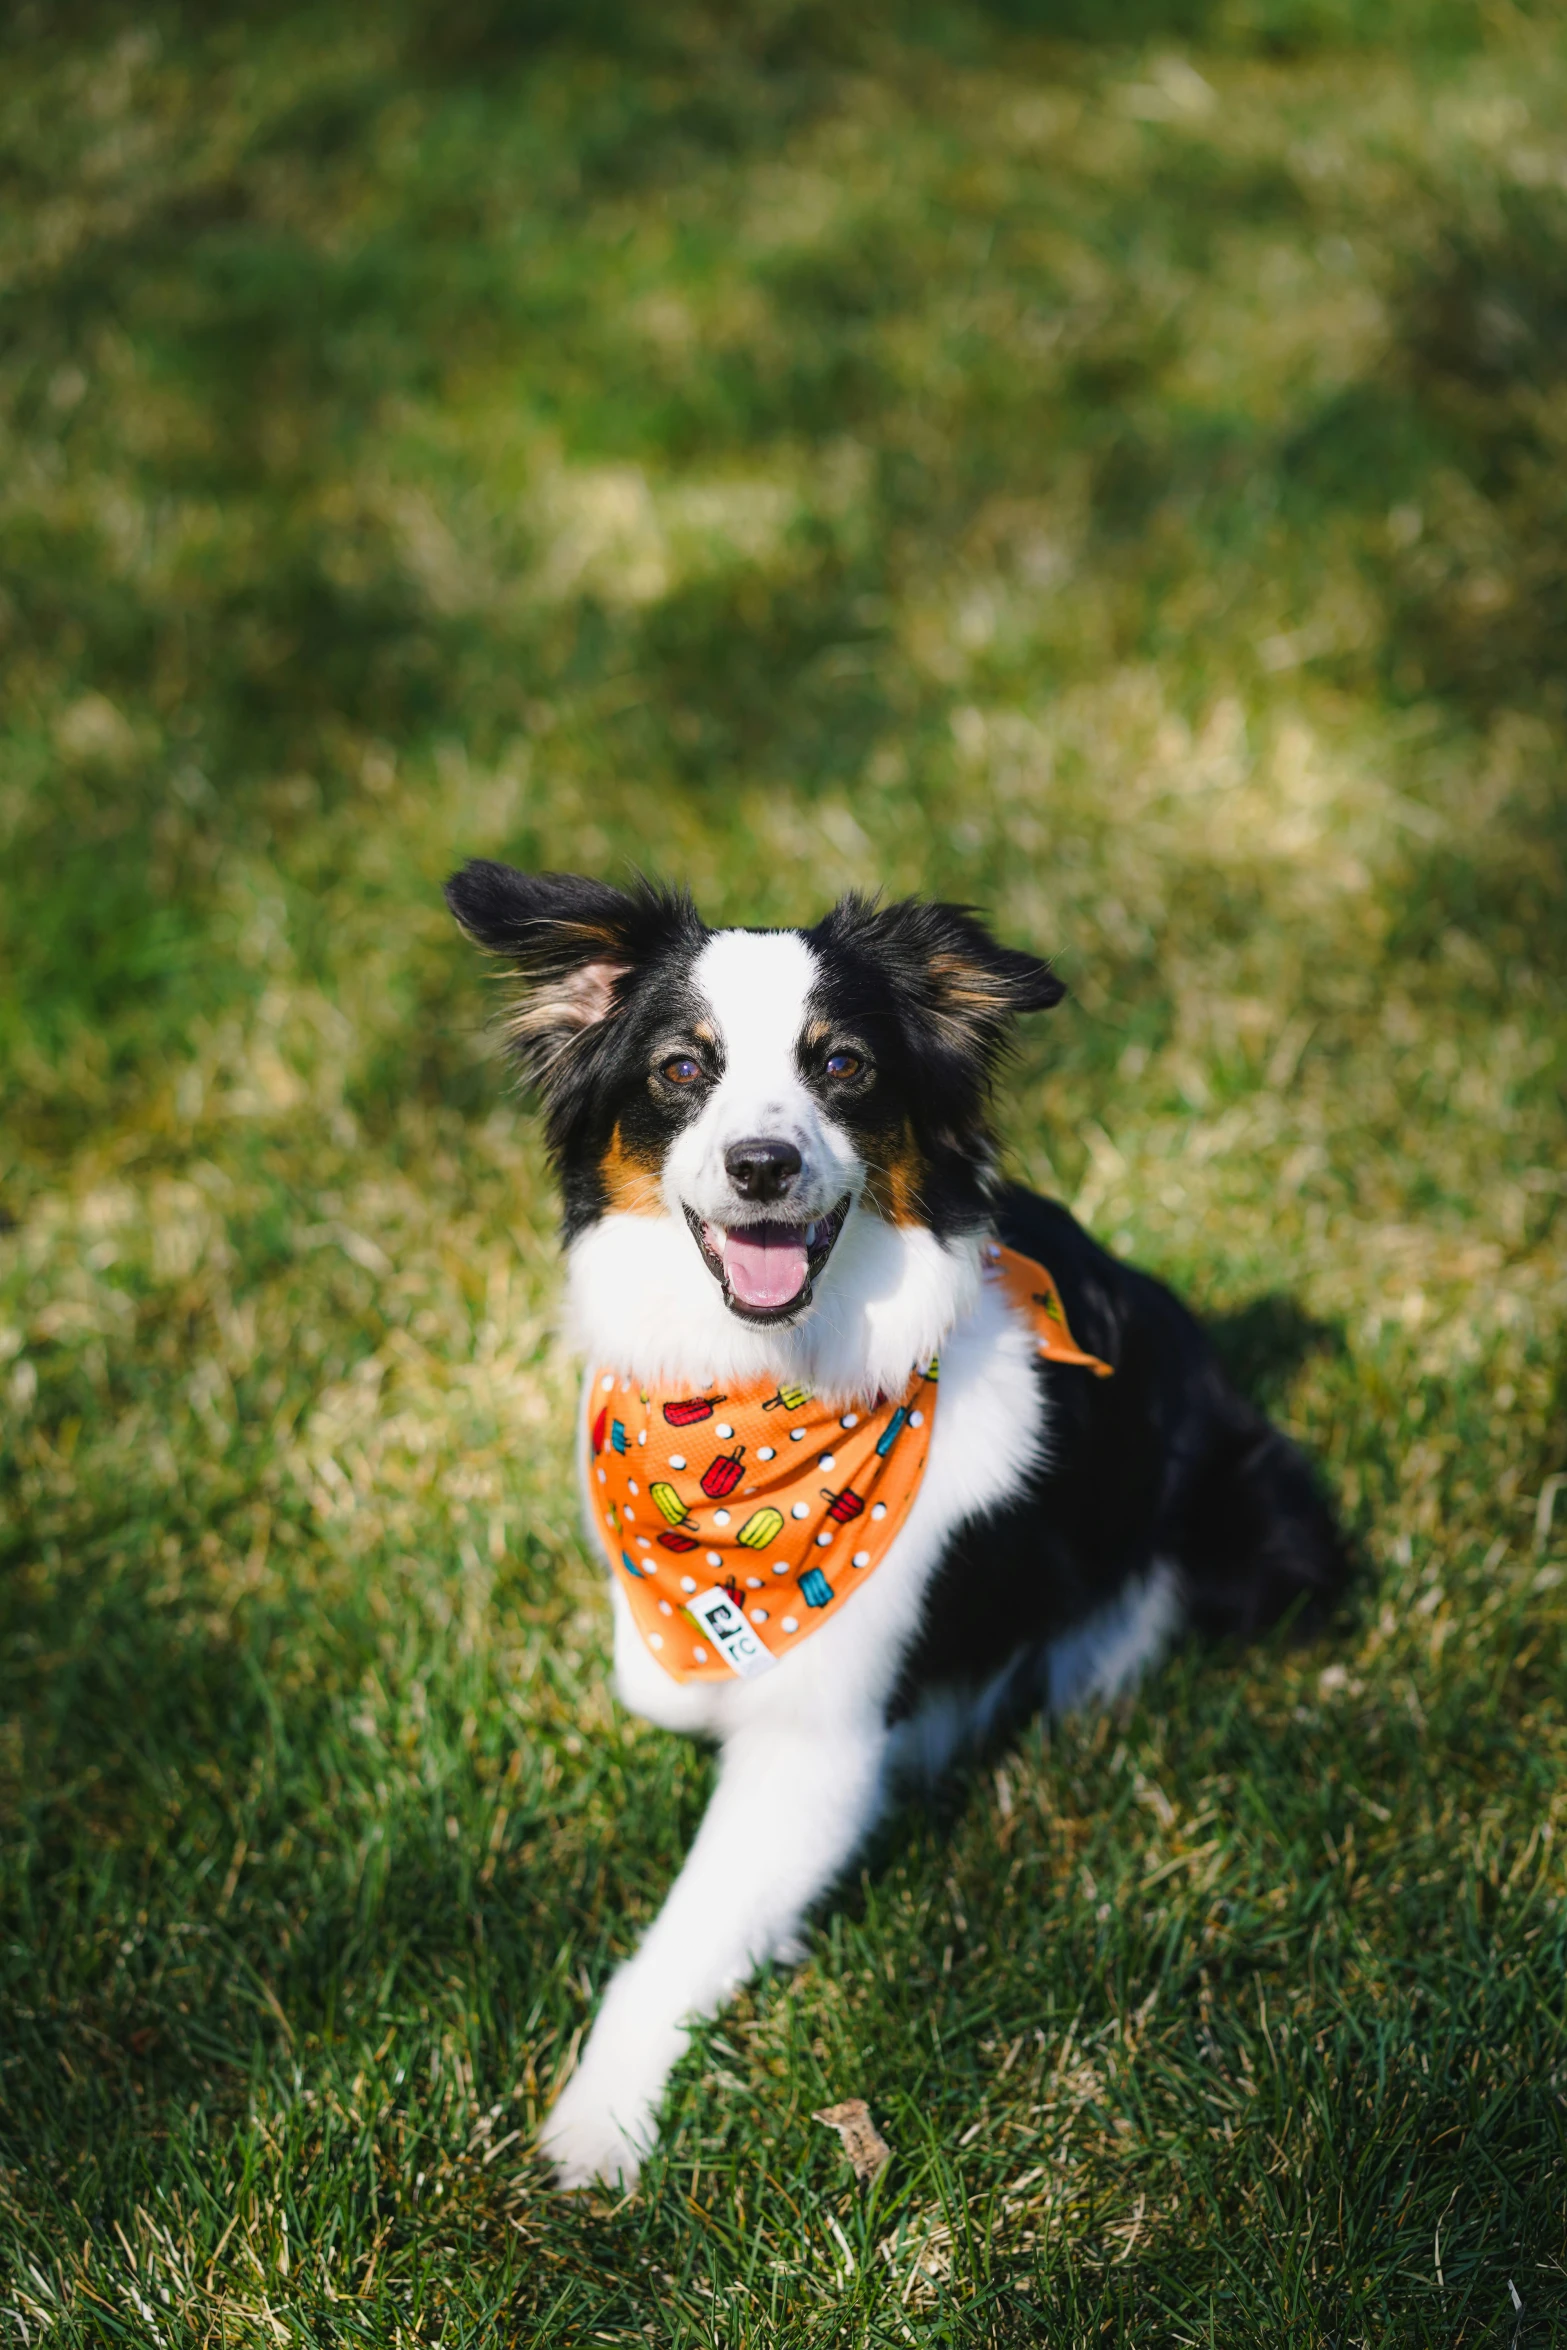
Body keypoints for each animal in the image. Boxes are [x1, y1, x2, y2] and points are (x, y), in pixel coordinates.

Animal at [444, 860, 1353, 2180]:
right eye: (682, 1067)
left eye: (844, 1064)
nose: (762, 1165)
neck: (753, 1404)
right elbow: (652, 1674)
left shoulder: (819, 1747)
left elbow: (673, 1943)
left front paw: (596, 2127)